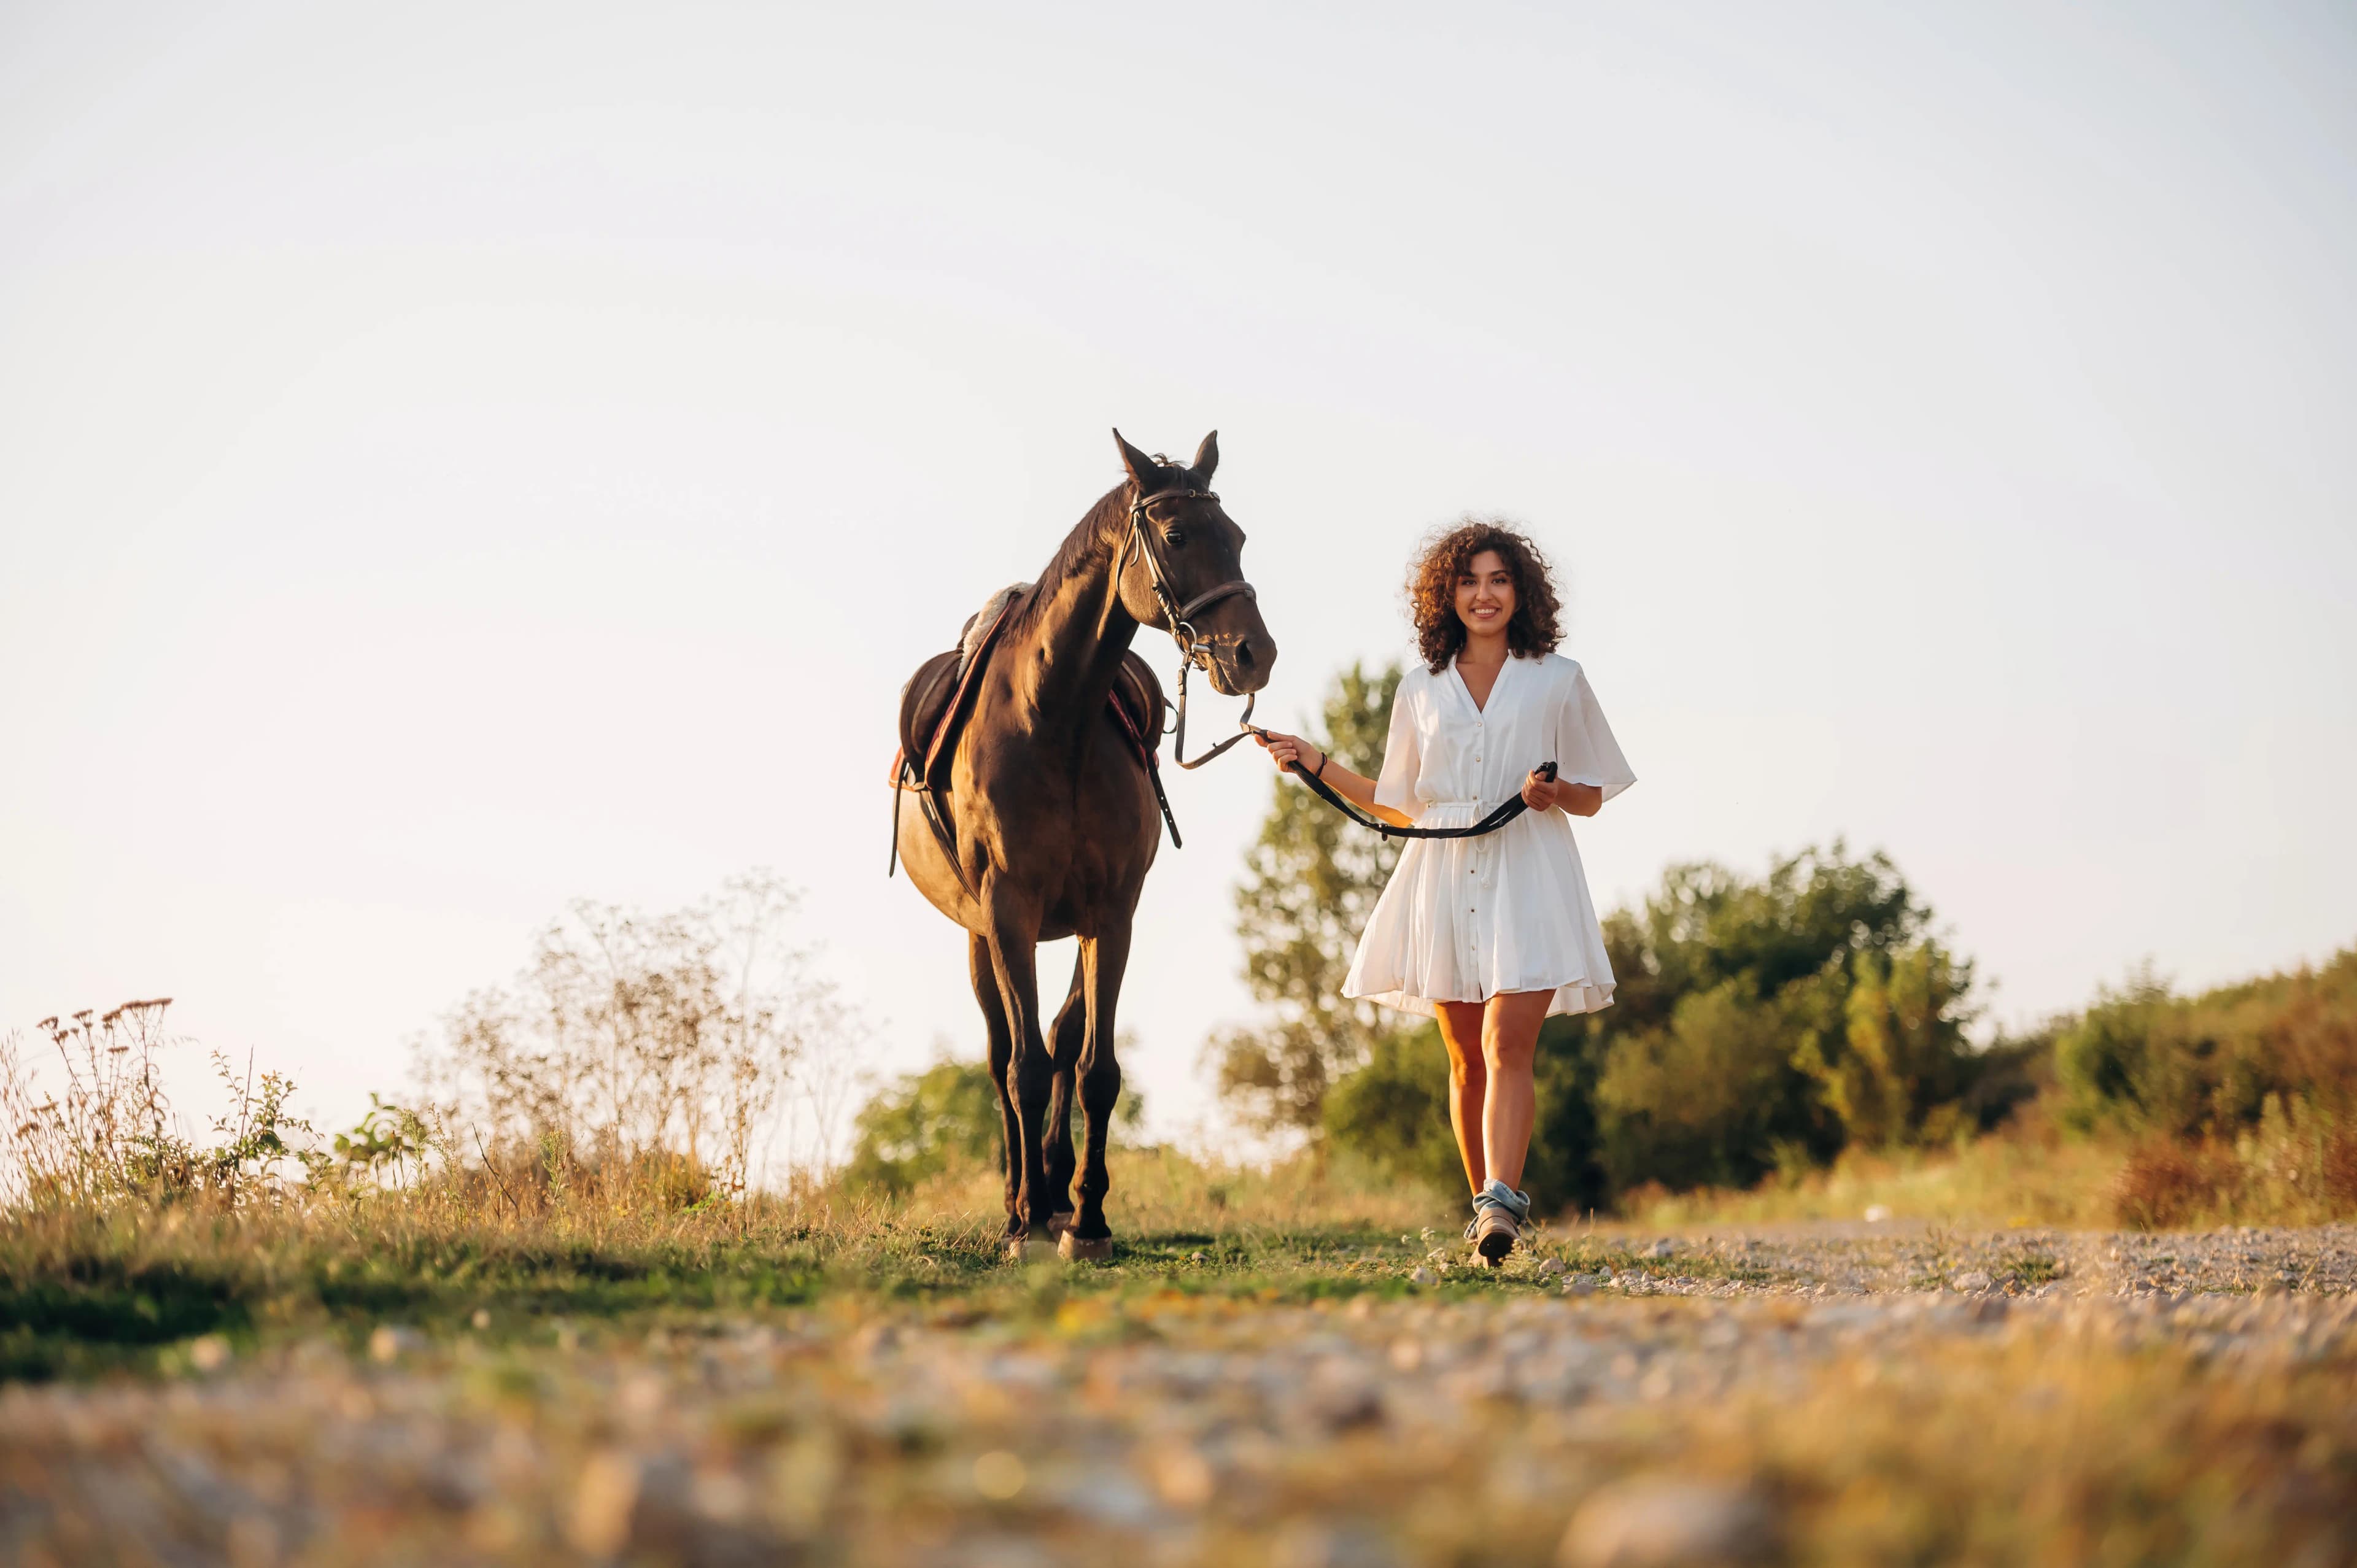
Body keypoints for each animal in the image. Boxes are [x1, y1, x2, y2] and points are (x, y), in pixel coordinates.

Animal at [891, 430, 1276, 1259]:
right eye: (1177, 535)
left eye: (1236, 537)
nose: (1254, 654)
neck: (1053, 719)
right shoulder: (1009, 913)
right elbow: (1025, 1069)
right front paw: (1029, 1220)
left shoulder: (1112, 913)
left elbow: (1094, 1069)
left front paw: (1088, 1217)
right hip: (982, 936)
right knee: (1004, 1055)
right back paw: (1021, 1199)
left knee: (1063, 1038)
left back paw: (1057, 1189)